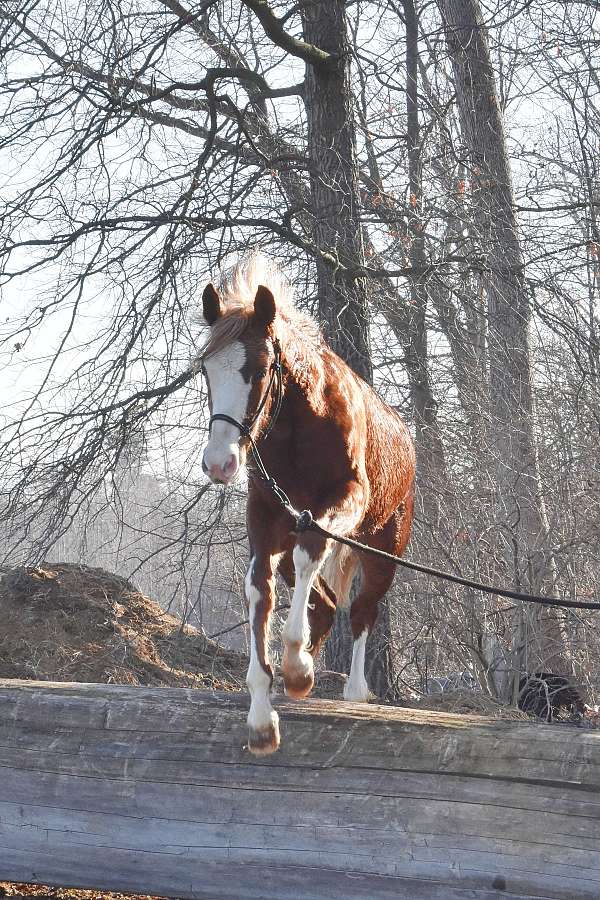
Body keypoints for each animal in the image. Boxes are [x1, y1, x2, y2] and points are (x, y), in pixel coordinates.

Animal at [195, 255, 414, 752]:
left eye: (259, 370)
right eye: (206, 370)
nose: (220, 463)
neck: (296, 428)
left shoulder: (340, 503)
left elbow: (309, 550)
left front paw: (295, 666)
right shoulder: (267, 519)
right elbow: (259, 588)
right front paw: (262, 717)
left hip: (384, 551)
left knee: (361, 611)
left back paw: (352, 689)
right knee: (326, 603)